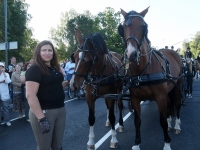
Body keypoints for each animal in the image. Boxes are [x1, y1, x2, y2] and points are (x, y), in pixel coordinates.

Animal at [118, 7, 184, 150]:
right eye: (123, 27)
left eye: (143, 26)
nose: (131, 54)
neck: (143, 71)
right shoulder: (135, 98)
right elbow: (137, 121)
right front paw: (136, 143)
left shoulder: (160, 96)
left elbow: (162, 121)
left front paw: (167, 144)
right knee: (170, 104)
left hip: (178, 85)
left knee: (176, 104)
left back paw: (176, 125)